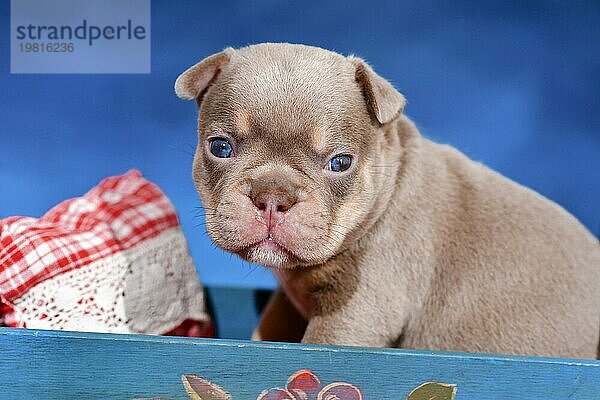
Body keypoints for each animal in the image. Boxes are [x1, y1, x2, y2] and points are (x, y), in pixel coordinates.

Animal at [175, 42, 600, 358]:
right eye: (220, 147)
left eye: (340, 162)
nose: (272, 196)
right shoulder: (289, 301)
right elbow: (268, 329)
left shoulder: (356, 310)